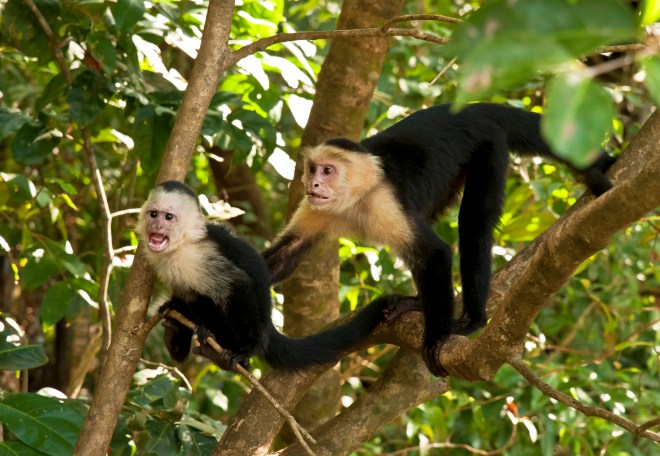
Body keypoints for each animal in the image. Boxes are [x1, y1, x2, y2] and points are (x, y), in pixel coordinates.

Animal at [138, 180, 400, 372]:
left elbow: (237, 284)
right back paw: (177, 331)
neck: (181, 245)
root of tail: (268, 327)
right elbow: (182, 293)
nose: (157, 227)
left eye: (168, 217)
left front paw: (247, 350)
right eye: (153, 214)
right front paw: (172, 306)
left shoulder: (196, 258)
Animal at [262, 102, 615, 376]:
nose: (313, 184)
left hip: (488, 146)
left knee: (472, 224)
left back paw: (472, 319)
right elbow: (286, 255)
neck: (354, 200)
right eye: (313, 169)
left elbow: (434, 254)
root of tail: (470, 109)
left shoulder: (383, 203)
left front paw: (436, 337)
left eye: (328, 171)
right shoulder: (316, 208)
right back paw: (418, 302)